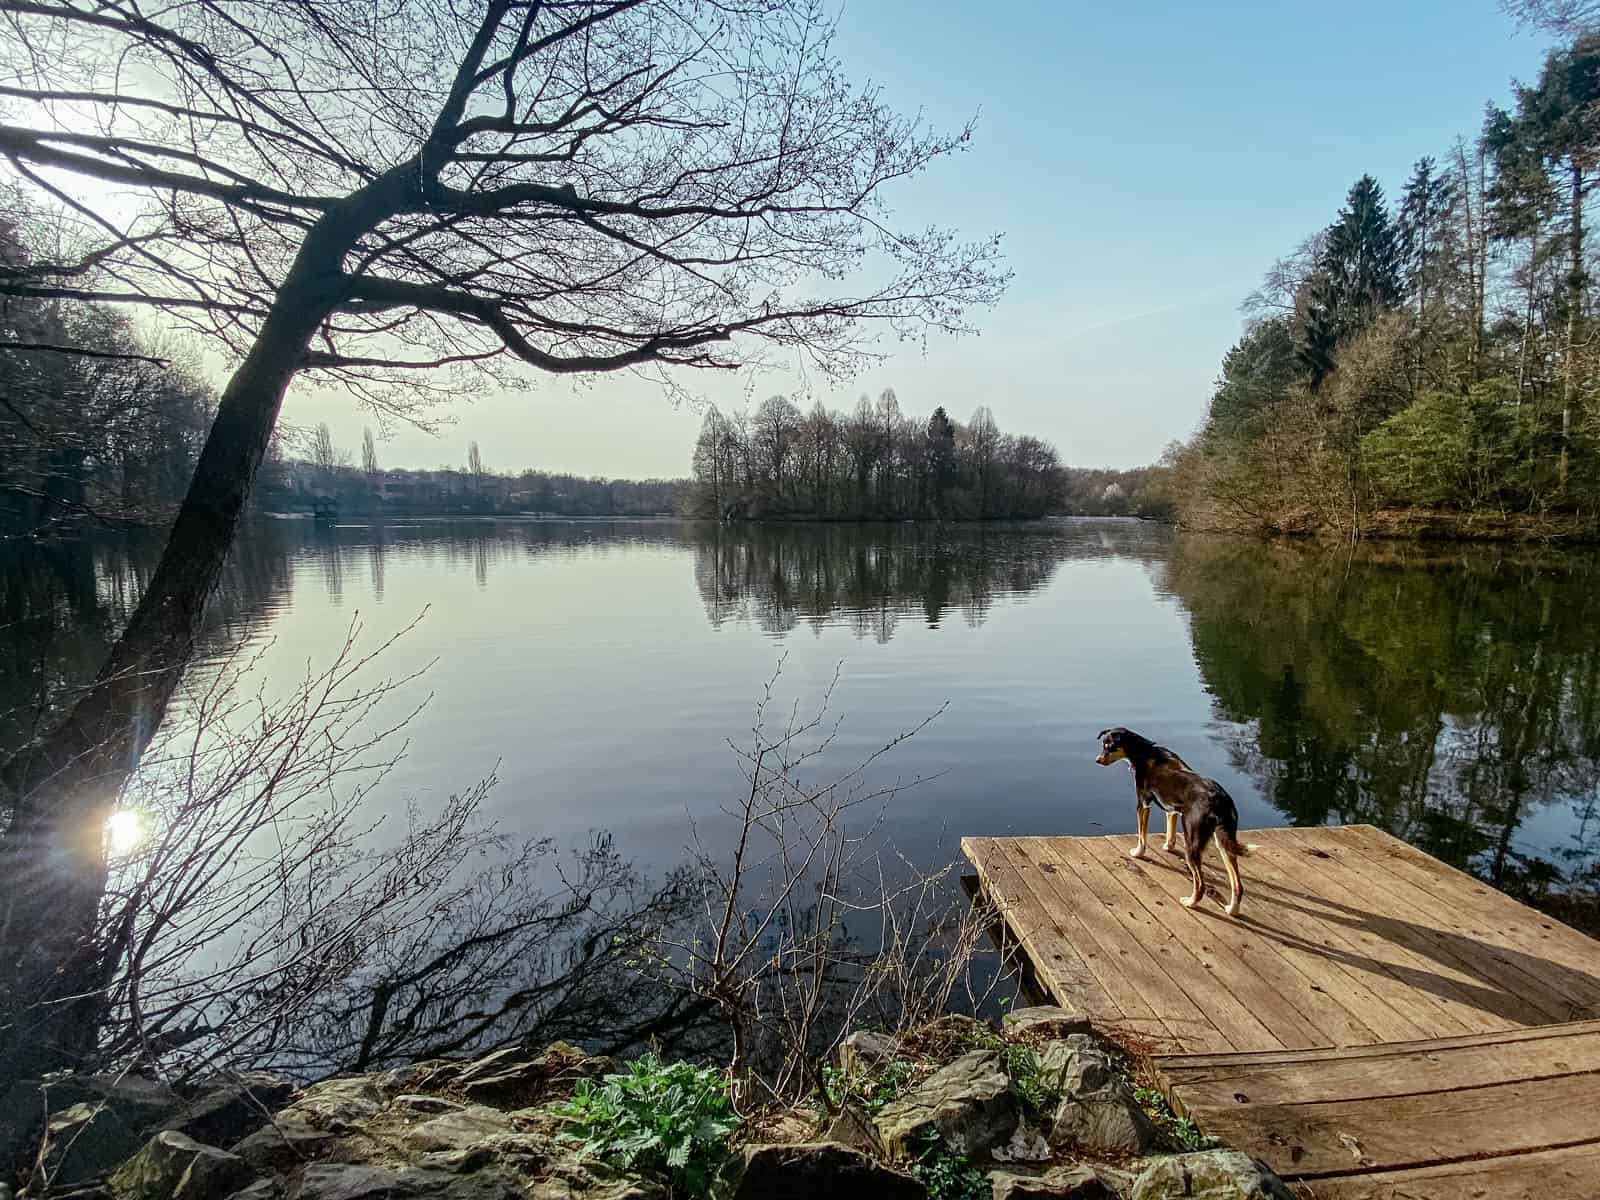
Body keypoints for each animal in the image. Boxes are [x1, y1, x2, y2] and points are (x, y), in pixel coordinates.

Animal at [1100, 729, 1248, 915]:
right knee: (1238, 885)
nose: (1098, 759)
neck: (1145, 752)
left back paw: (1191, 902)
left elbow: (1142, 836)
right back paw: (1232, 909)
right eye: (1102, 745)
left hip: (1192, 844)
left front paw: (1138, 853)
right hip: (1224, 842)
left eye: (1110, 746)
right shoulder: (1172, 810)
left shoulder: (1143, 804)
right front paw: (1168, 847)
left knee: (1200, 884)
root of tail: (1218, 799)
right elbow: (1170, 833)